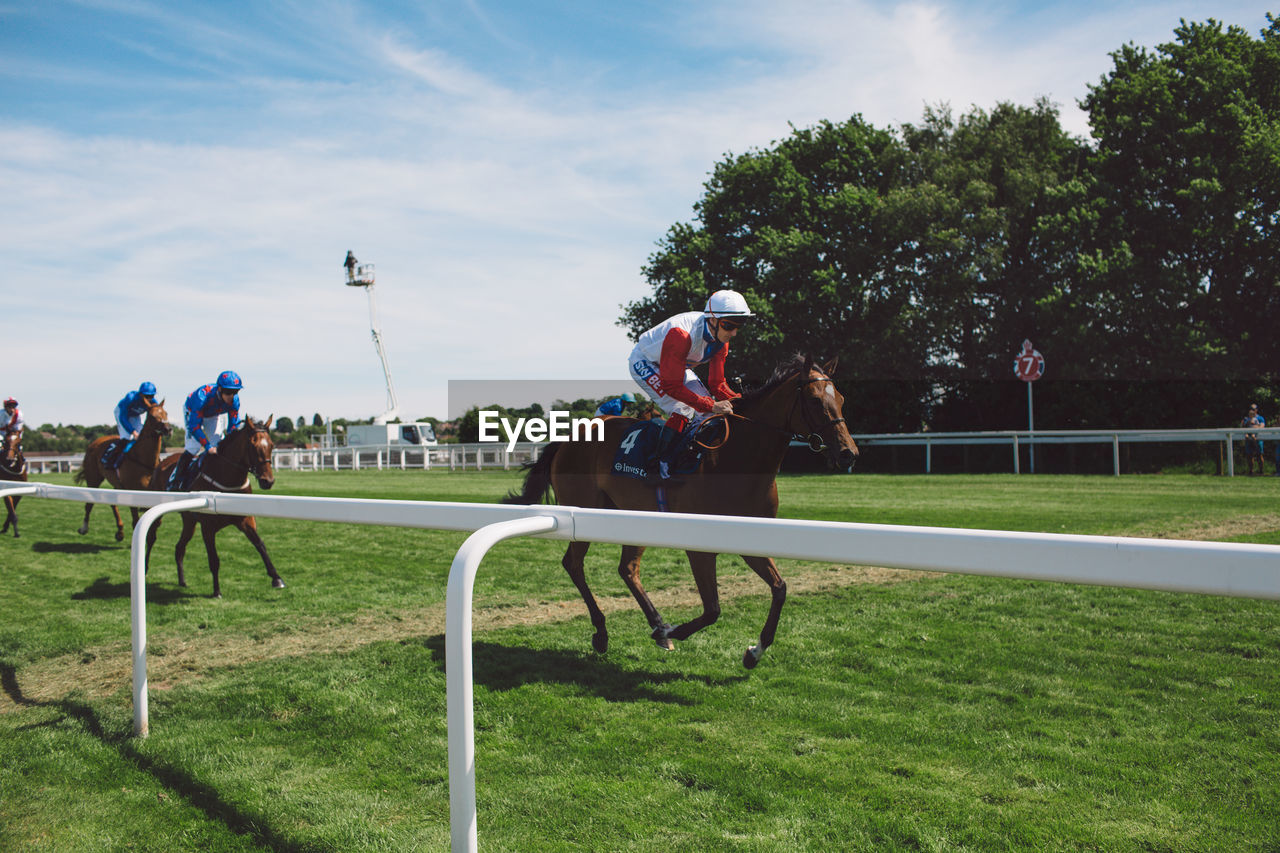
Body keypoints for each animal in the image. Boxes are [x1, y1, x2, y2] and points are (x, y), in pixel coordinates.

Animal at [75, 397, 172, 537]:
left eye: (166, 413)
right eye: (152, 416)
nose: (168, 429)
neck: (144, 461)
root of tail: (94, 443)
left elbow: (156, 521)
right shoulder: (132, 491)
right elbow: (136, 521)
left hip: (117, 484)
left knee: (112, 503)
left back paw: (120, 531)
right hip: (93, 478)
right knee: (89, 503)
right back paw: (84, 527)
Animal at [146, 414, 284, 594]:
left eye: (272, 445)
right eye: (253, 445)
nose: (268, 481)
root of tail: (162, 462)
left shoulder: (245, 519)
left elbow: (260, 545)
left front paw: (276, 577)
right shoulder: (207, 527)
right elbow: (214, 559)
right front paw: (216, 591)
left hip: (189, 521)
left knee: (179, 548)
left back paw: (182, 581)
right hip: (158, 511)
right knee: (151, 537)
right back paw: (144, 568)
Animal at [501, 350, 860, 666]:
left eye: (842, 399)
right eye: (814, 400)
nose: (849, 453)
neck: (737, 458)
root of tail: (576, 432)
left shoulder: (750, 536)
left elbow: (780, 588)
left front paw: (753, 652)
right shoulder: (699, 545)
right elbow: (713, 609)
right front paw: (676, 631)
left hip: (633, 516)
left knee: (627, 568)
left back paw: (657, 625)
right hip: (586, 509)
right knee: (574, 565)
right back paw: (604, 632)